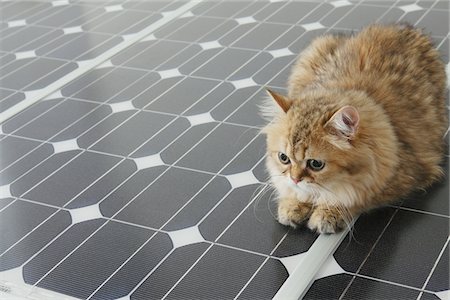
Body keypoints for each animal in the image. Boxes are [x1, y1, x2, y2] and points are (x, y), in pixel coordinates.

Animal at [262, 24, 448, 234]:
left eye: (316, 164)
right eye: (283, 158)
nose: (295, 179)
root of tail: (405, 27)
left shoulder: (404, 177)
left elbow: (351, 198)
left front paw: (327, 213)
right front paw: (292, 205)